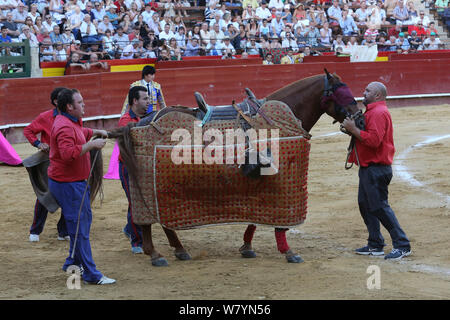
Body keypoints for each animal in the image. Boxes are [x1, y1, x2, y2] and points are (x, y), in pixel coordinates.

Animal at [108, 69, 358, 264]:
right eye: (341, 92)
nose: (358, 117)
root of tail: (139, 123)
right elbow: (281, 222)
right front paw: (288, 251)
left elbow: (257, 217)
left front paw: (247, 247)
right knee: (147, 218)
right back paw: (155, 254)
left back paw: (178, 250)